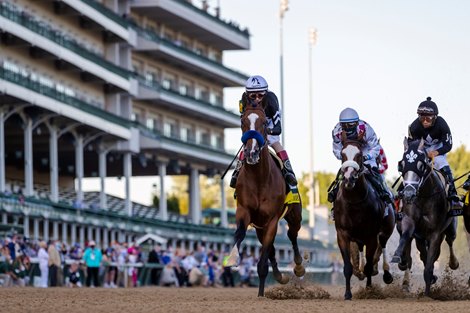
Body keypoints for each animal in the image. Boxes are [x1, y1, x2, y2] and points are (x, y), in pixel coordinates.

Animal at [225, 102, 304, 294]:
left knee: (292, 235)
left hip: (294, 216)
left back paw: (298, 266)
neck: (259, 179)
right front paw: (232, 258)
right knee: (272, 250)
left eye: (263, 122)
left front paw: (261, 293)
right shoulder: (244, 211)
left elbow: (263, 261)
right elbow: (240, 232)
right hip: (259, 226)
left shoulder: (272, 219)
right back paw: (280, 276)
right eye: (243, 122)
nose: (251, 152)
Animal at [334, 139, 396, 300]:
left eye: (360, 155)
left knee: (383, 246)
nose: (349, 178)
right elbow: (348, 267)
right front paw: (347, 294)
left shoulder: (371, 236)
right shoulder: (342, 234)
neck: (354, 201)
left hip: (385, 231)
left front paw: (369, 291)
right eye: (342, 154)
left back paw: (386, 274)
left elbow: (370, 264)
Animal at [390, 137, 458, 294]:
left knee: (450, 241)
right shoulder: (409, 222)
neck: (424, 196)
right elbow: (406, 238)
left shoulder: (436, 232)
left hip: (450, 228)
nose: (408, 194)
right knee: (420, 253)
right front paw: (397, 257)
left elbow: (429, 266)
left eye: (421, 165)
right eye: (402, 165)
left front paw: (427, 293)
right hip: (420, 236)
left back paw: (453, 263)